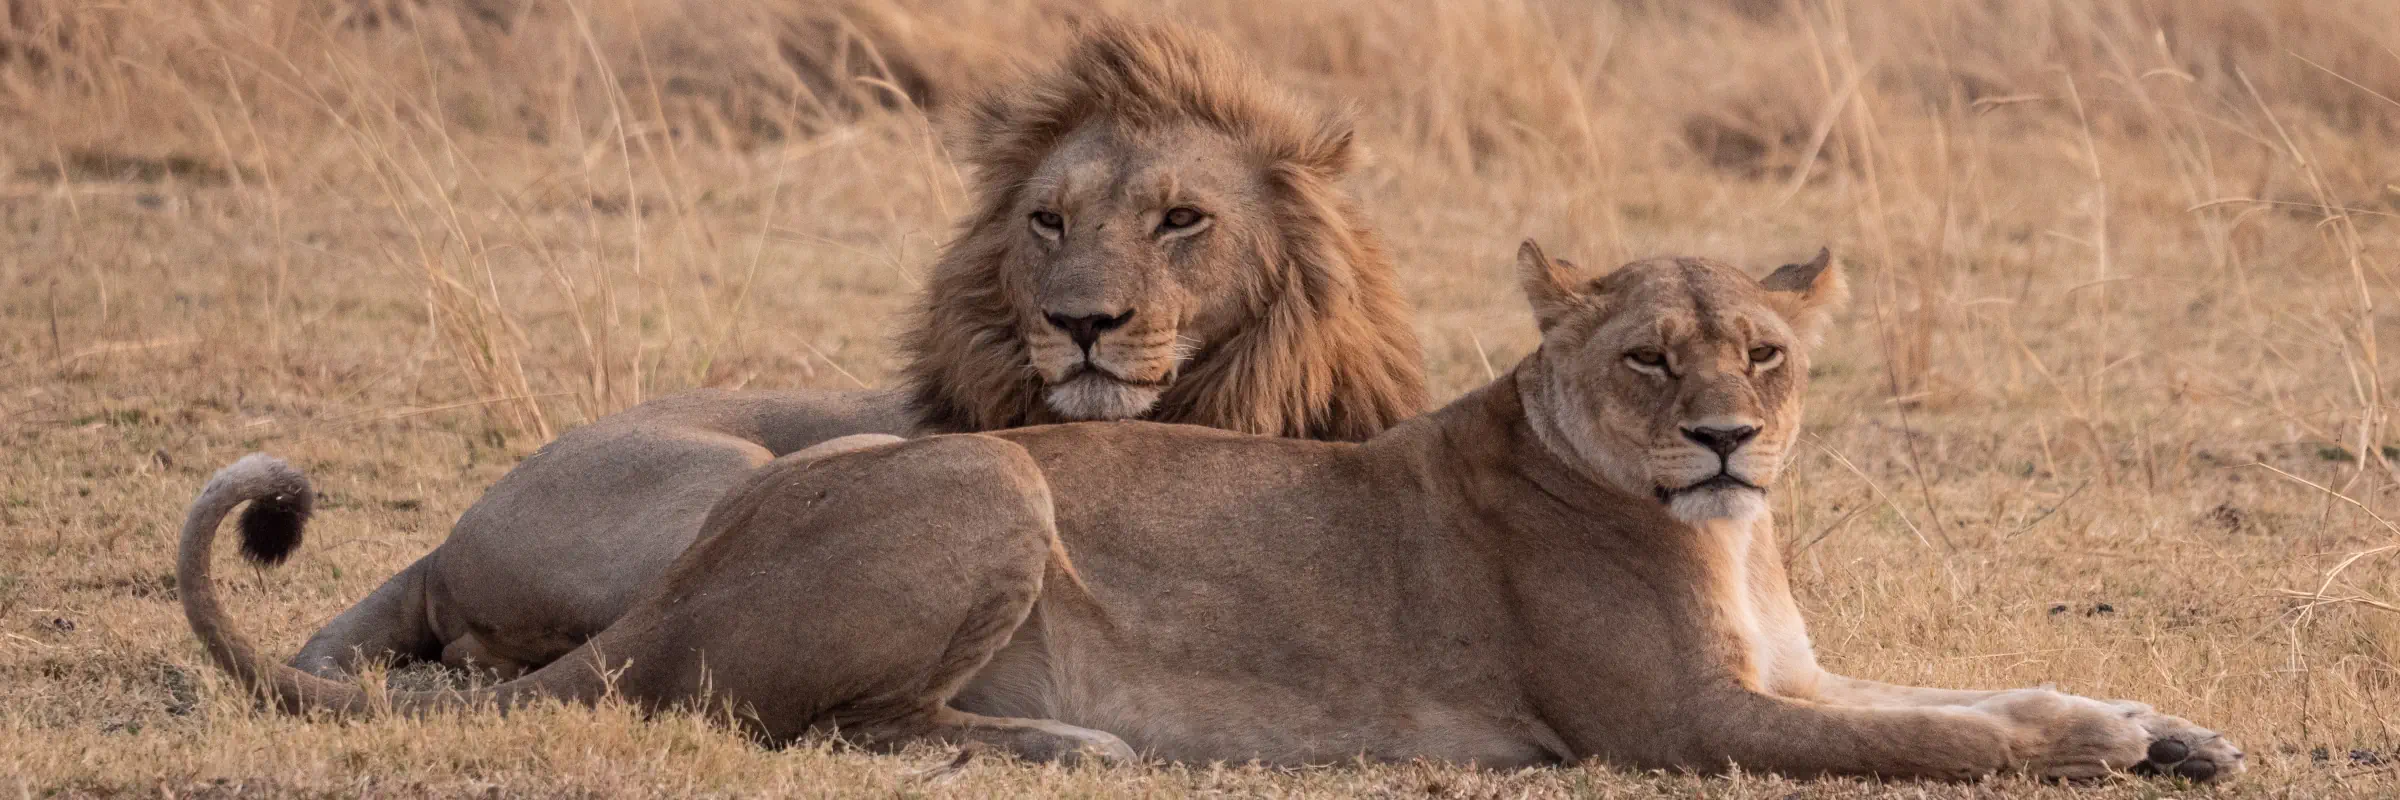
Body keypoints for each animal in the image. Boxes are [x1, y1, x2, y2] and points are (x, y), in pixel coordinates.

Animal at [181, 242, 2241, 781]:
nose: (1730, 437)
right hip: (988, 474)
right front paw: (2102, 751)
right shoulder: (1686, 724)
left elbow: (1969, 693)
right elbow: (1938, 739)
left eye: (1767, 352)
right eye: (1651, 357)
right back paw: (1077, 745)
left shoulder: (1784, 678)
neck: (1727, 533)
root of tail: (673, 588)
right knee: (806, 720)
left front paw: (2163, 727)